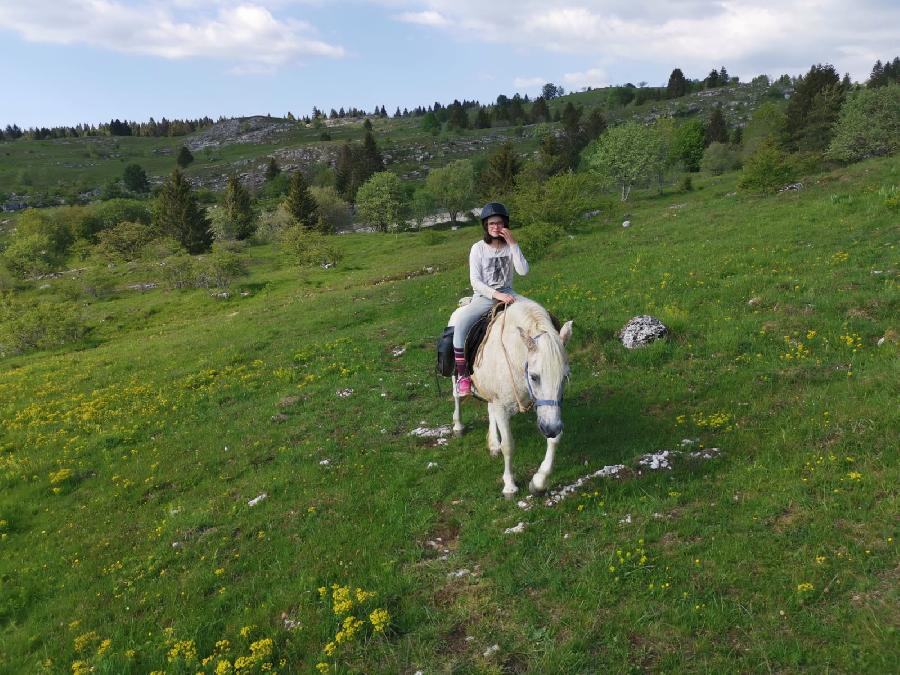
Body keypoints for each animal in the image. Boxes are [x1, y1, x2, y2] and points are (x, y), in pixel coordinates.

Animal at [448, 298, 572, 500]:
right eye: (534, 377)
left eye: (565, 377)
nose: (551, 428)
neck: (516, 354)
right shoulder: (503, 407)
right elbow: (508, 446)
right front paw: (509, 486)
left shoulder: (547, 410)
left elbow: (554, 440)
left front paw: (538, 482)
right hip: (456, 375)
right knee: (457, 396)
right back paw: (458, 426)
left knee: (489, 408)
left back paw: (493, 444)